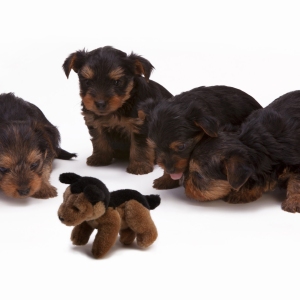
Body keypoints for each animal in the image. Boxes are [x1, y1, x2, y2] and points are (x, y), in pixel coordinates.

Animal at [62, 45, 172, 175]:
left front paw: (139, 165)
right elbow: (98, 140)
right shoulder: (94, 122)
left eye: (117, 82)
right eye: (87, 82)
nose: (100, 103)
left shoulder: (140, 124)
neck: (120, 107)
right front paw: (100, 158)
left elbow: (140, 145)